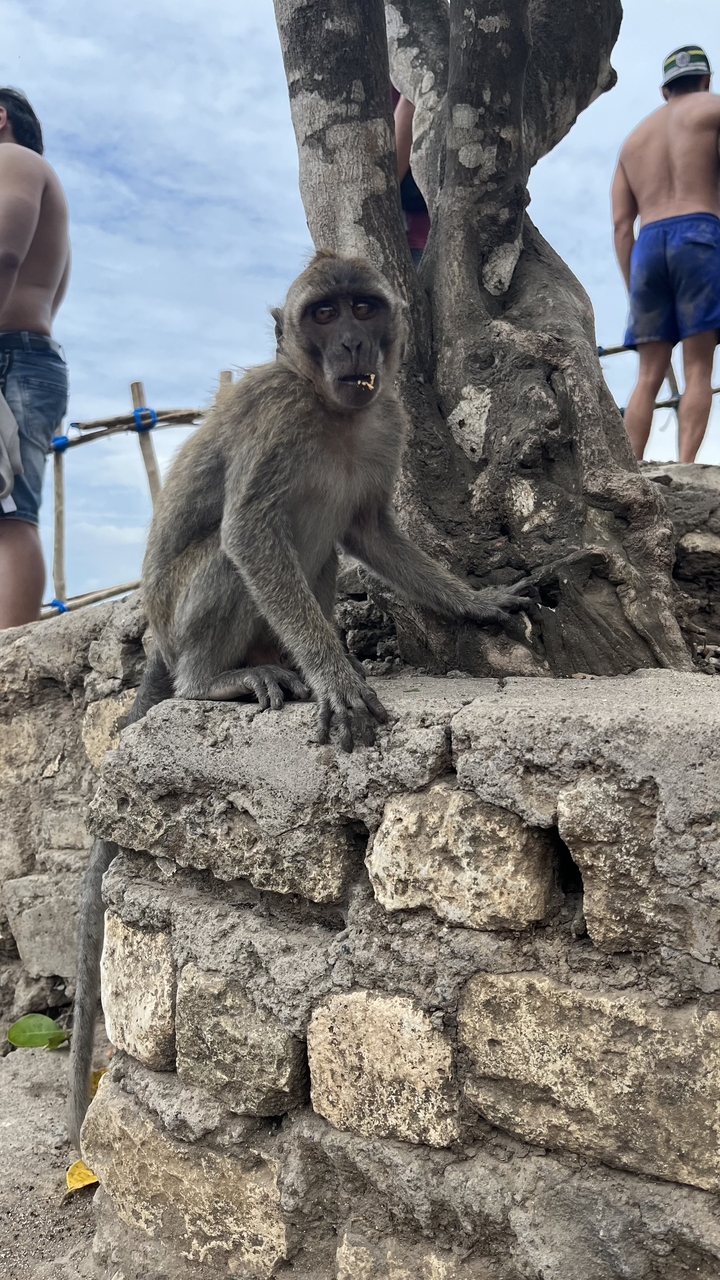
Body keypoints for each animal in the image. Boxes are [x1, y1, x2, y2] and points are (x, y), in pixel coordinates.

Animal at [68, 249, 533, 1146]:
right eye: (322, 314)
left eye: (362, 306)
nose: (352, 342)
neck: (328, 406)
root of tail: (160, 639)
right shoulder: (274, 418)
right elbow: (250, 534)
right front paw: (336, 674)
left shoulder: (387, 420)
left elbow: (372, 530)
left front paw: (477, 603)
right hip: (182, 617)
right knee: (236, 549)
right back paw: (218, 682)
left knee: (315, 551)